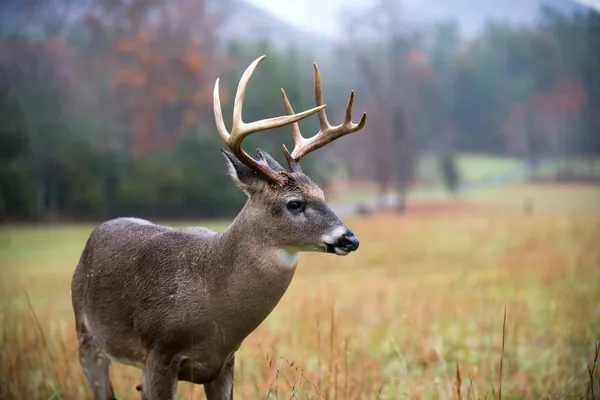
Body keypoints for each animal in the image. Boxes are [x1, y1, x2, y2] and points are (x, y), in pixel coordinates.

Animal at [71, 54, 366, 398]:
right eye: (294, 203)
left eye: (321, 193)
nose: (350, 239)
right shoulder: (160, 351)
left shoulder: (225, 360)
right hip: (87, 337)